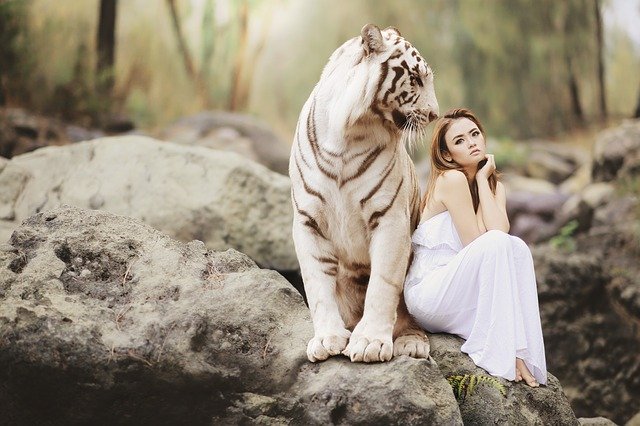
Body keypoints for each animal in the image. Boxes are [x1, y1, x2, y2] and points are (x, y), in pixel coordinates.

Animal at [292, 24, 438, 362]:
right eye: (416, 78)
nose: (435, 114)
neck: (348, 133)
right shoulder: (307, 221)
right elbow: (317, 285)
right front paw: (327, 339)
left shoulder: (390, 218)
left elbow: (383, 284)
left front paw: (370, 342)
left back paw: (411, 343)